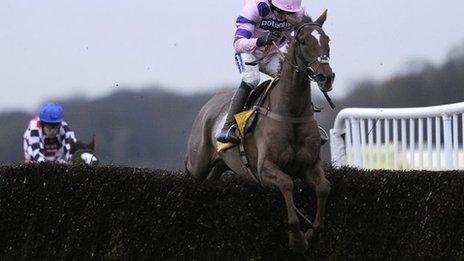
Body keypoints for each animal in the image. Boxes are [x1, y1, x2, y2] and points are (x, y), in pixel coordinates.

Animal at [185, 10, 334, 252]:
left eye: (327, 40)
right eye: (303, 41)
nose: (326, 77)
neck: (290, 113)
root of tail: (207, 106)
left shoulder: (311, 165)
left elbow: (323, 187)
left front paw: (313, 235)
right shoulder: (265, 168)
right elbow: (286, 183)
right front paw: (297, 239)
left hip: (218, 167)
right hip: (199, 163)